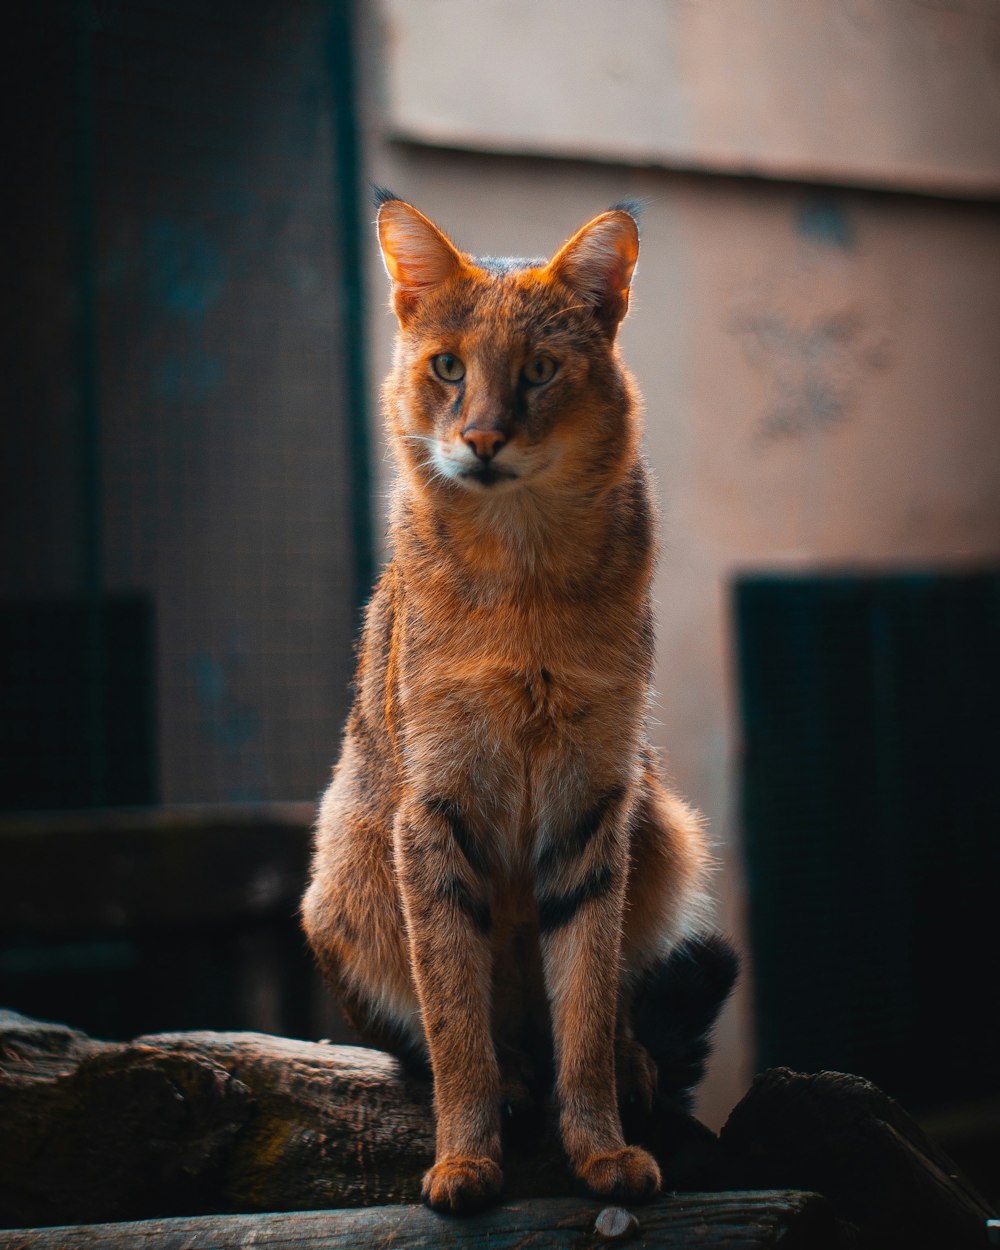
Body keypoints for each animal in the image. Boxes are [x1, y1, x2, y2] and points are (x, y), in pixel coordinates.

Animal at [301, 192, 715, 1210]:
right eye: (448, 367)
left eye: (538, 370)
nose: (482, 439)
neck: (524, 570)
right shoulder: (432, 809)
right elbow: (455, 1021)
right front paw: (464, 1161)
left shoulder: (594, 800)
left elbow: (589, 997)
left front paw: (601, 1148)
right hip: (345, 866)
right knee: (443, 1035)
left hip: (666, 828)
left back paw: (628, 1062)